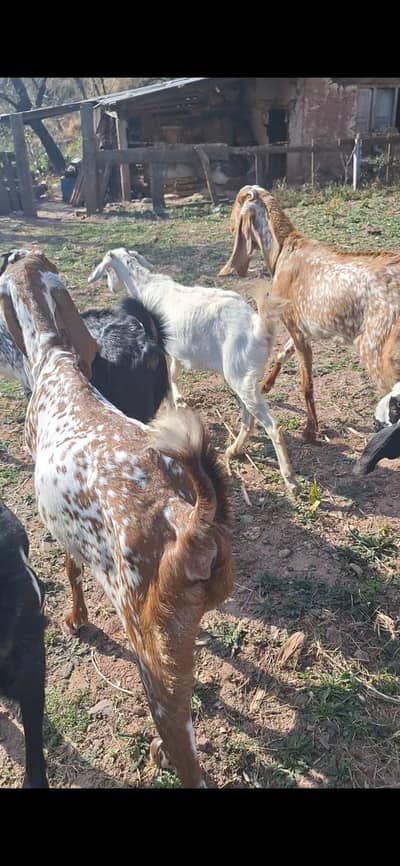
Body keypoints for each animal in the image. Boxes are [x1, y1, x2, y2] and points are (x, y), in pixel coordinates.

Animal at [0, 248, 233, 789]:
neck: (56, 363)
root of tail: (188, 517)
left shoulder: (60, 530)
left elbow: (70, 570)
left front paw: (76, 619)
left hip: (149, 648)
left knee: (186, 754)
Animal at [87, 248, 297, 494]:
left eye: (107, 270)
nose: (111, 288)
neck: (146, 284)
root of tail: (259, 326)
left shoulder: (164, 350)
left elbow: (170, 380)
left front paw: (173, 406)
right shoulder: (175, 352)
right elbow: (174, 374)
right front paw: (179, 401)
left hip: (241, 377)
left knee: (272, 426)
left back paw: (290, 479)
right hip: (241, 377)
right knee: (248, 416)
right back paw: (234, 450)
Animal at [220, 185, 400, 443]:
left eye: (236, 204)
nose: (230, 225)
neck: (283, 249)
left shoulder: (297, 331)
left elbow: (306, 383)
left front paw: (310, 429)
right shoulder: (300, 329)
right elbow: (281, 353)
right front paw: (265, 385)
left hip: (377, 353)